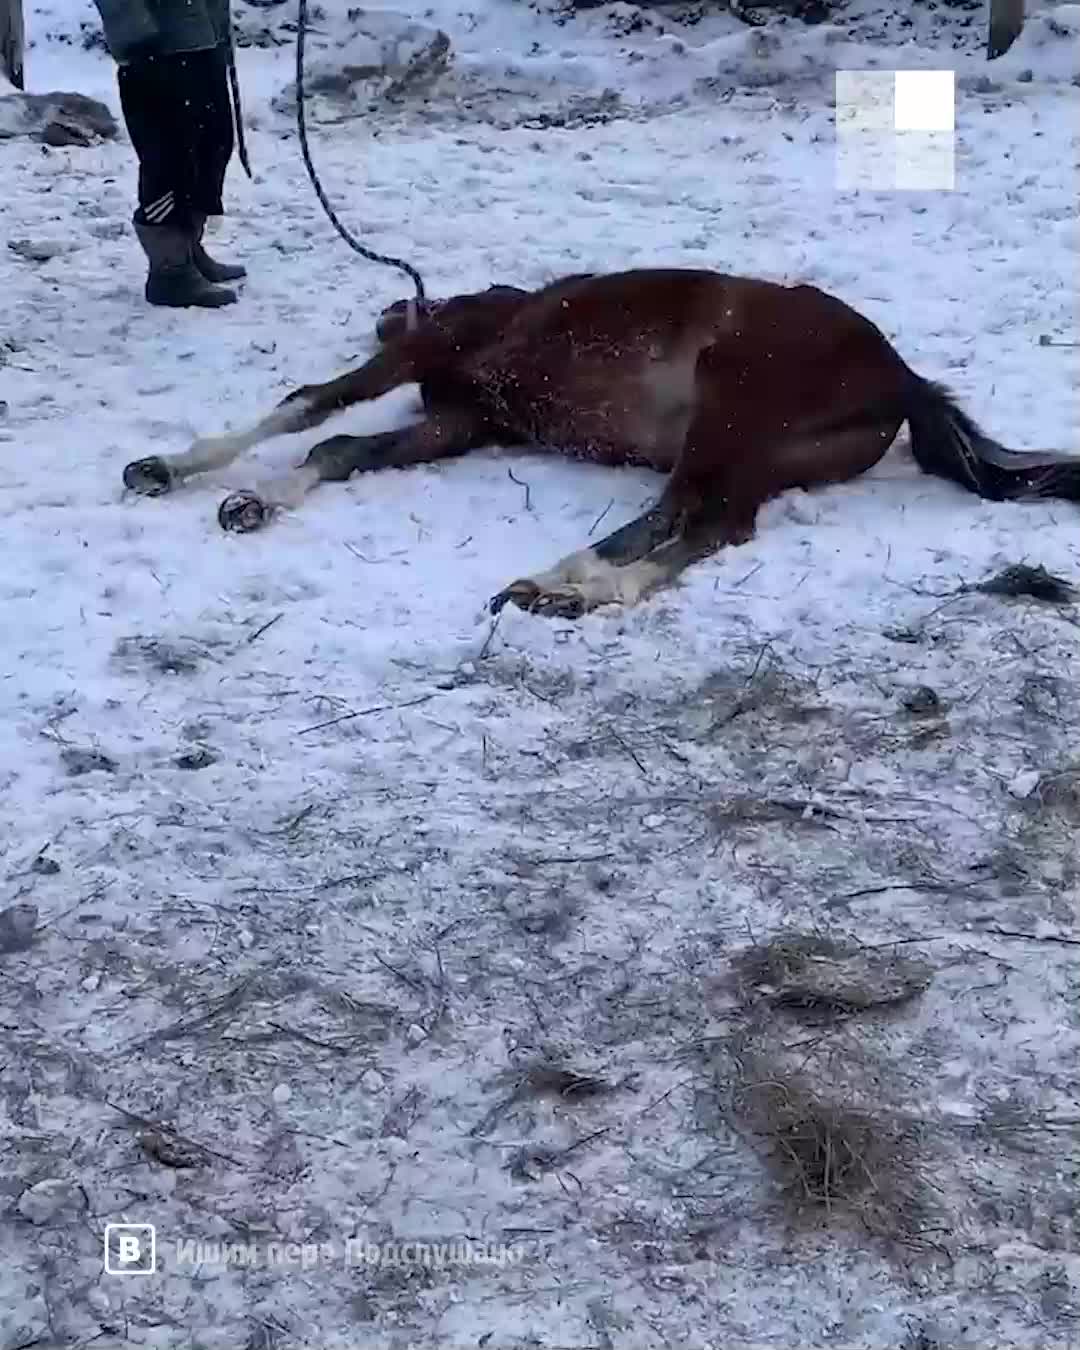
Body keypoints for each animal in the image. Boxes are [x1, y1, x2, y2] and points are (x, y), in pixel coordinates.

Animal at [122, 268, 1074, 618]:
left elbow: (309, 410)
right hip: (760, 451)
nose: (389, 312)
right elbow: (341, 451)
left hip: (734, 400)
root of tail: (902, 375)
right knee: (700, 519)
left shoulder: (427, 359)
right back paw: (557, 586)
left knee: (703, 520)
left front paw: (186, 475)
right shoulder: (468, 423)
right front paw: (250, 498)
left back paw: (568, 591)